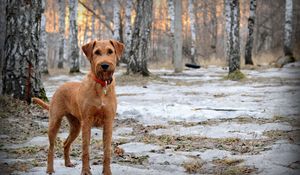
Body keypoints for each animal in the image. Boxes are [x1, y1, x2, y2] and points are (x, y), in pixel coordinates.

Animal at [33, 39, 124, 175]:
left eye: (110, 51)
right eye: (97, 52)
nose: (104, 65)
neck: (101, 85)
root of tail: (61, 86)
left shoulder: (108, 123)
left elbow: (107, 151)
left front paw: (107, 171)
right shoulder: (87, 122)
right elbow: (85, 150)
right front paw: (85, 171)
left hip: (76, 126)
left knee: (65, 143)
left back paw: (68, 163)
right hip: (55, 122)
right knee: (51, 147)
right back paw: (49, 169)